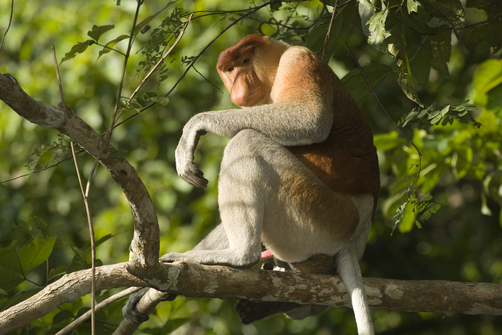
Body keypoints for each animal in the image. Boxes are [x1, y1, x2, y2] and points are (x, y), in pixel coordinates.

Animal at [160, 35, 376, 334]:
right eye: (230, 69)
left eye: (245, 61)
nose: (239, 83)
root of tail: (357, 235)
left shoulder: (298, 61)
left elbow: (310, 118)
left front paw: (195, 126)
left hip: (321, 215)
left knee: (247, 140)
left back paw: (239, 256)